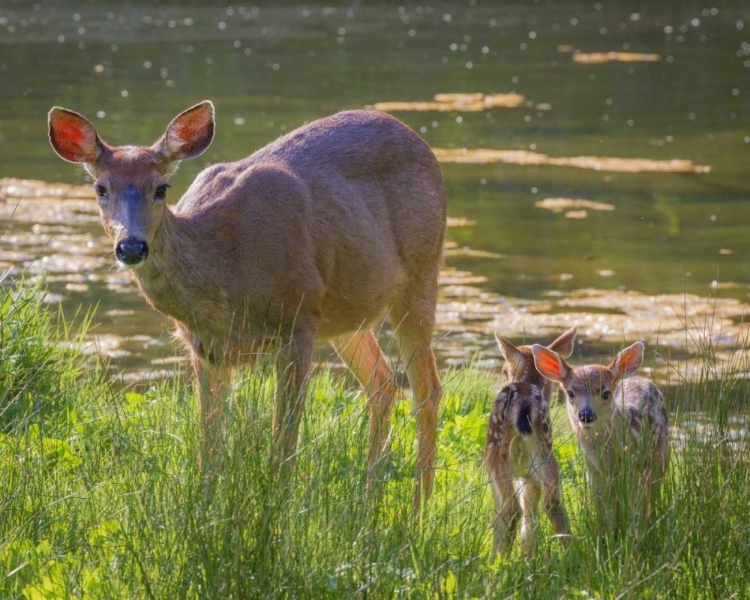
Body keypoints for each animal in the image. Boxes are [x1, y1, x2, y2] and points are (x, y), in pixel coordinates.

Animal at [50, 101, 450, 508]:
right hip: (347, 313)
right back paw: (368, 504)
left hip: (420, 271)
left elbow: (283, 445)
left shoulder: (297, 320)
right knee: (383, 384)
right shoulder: (205, 347)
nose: (131, 247)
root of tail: (418, 140)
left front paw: (277, 514)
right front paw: (207, 510)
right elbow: (209, 448)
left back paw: (418, 509)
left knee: (428, 390)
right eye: (100, 188)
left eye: (161, 188)